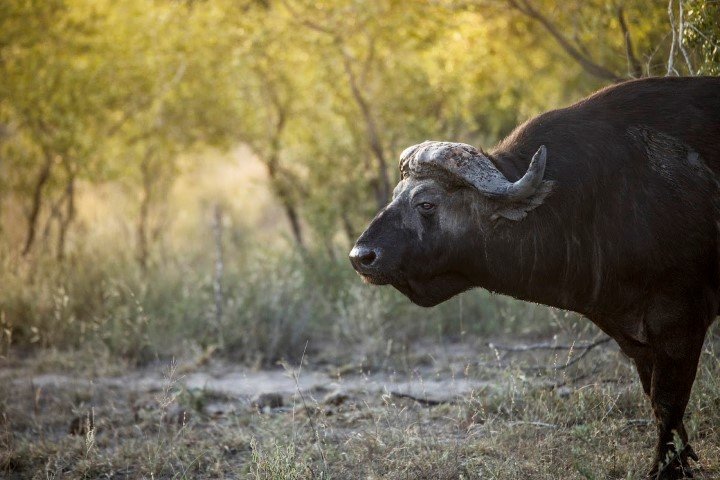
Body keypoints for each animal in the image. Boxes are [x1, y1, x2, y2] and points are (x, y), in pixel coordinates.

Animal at [348, 77, 720, 478]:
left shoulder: (679, 324)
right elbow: (658, 403)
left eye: (426, 203)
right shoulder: (637, 338)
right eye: (395, 196)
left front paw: (666, 468)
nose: (361, 257)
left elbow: (666, 404)